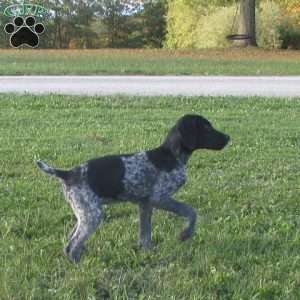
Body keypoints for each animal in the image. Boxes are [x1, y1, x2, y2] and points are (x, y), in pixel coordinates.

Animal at [37, 113, 230, 262]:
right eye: (206, 127)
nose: (228, 138)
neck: (171, 155)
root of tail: (68, 173)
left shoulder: (145, 203)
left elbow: (145, 234)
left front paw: (148, 253)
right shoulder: (159, 198)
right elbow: (191, 211)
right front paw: (185, 234)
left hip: (84, 213)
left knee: (69, 241)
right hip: (92, 215)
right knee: (73, 245)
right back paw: (78, 264)